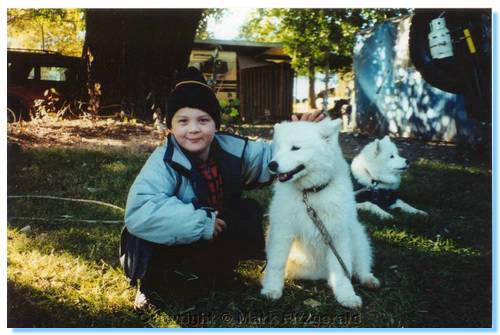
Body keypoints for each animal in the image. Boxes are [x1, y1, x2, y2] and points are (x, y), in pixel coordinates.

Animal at [262, 119, 378, 312]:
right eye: (277, 148)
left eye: (295, 148)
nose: (271, 165)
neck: (310, 193)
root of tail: (318, 274)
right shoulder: (282, 231)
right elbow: (276, 264)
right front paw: (271, 289)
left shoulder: (338, 235)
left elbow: (341, 272)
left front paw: (347, 296)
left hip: (357, 235)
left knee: (360, 264)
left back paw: (368, 279)